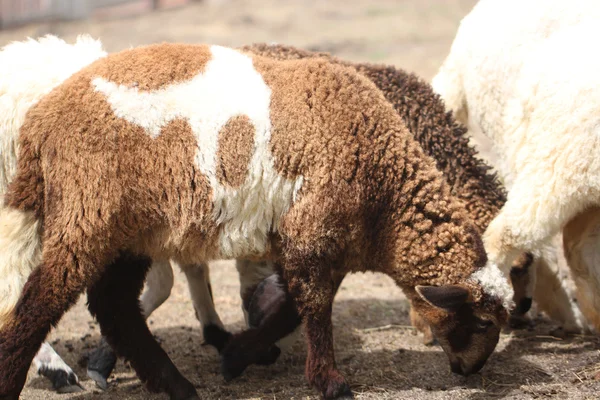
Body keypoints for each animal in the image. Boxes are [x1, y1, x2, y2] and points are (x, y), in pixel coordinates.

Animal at [0, 43, 510, 400]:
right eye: (484, 322)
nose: (470, 371)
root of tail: (41, 123)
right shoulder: (312, 231)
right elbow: (313, 311)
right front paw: (331, 383)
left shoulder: (305, 239)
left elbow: (290, 311)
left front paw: (237, 356)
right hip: (89, 214)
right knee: (38, 300)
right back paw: (25, 376)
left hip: (127, 230)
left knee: (115, 308)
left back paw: (175, 384)